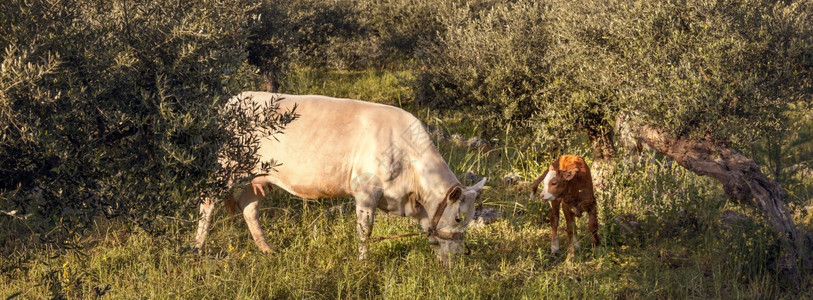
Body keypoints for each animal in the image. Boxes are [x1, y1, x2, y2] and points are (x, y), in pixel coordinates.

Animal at [195, 92, 488, 262]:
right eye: (458, 217)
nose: (460, 257)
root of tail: (234, 99)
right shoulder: (366, 190)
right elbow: (365, 230)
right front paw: (363, 262)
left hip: (261, 176)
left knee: (248, 206)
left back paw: (267, 250)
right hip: (226, 165)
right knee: (207, 201)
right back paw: (198, 247)